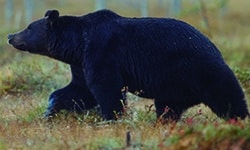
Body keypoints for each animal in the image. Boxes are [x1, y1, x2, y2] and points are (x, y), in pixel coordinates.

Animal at [7, 9, 248, 120]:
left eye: (29, 27)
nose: (10, 35)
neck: (77, 44)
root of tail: (214, 46)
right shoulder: (81, 62)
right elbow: (79, 90)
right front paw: (50, 110)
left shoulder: (103, 51)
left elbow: (106, 88)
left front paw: (111, 118)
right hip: (173, 86)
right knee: (167, 107)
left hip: (196, 68)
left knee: (227, 95)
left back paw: (239, 118)